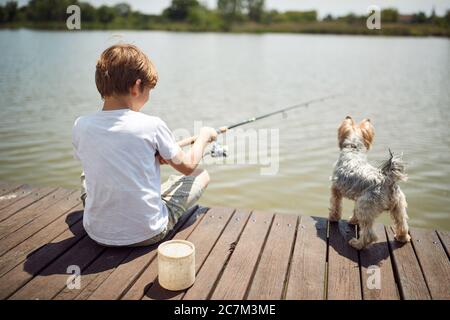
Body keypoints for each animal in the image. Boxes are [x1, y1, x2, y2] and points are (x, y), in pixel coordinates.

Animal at [326, 116, 412, 251]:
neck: (353, 149)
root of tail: (387, 179)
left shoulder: (336, 190)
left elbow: (335, 206)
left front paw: (333, 218)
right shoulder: (357, 198)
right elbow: (354, 213)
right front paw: (353, 221)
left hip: (365, 207)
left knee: (369, 235)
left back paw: (357, 244)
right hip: (398, 206)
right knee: (402, 223)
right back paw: (402, 237)